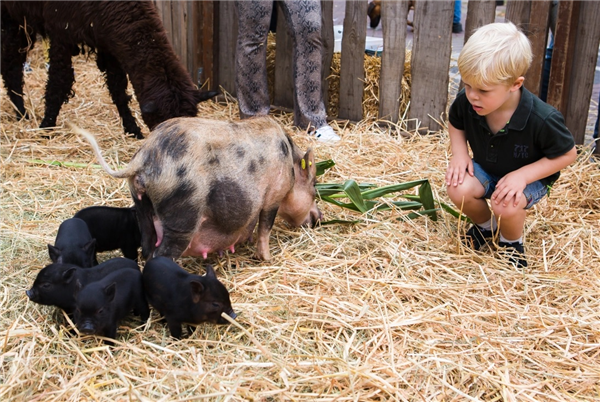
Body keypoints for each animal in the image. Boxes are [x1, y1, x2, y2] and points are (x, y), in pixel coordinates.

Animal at [1, 1, 217, 139]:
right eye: (163, 123)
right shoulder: (60, 33)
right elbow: (58, 83)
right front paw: (46, 127)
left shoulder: (108, 42)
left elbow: (118, 89)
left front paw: (132, 130)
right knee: (11, 65)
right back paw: (22, 112)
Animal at [73, 116, 322, 261]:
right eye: (314, 185)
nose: (319, 217)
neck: (290, 165)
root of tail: (144, 157)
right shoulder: (273, 196)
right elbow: (265, 228)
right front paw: (268, 259)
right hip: (182, 216)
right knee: (161, 255)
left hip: (141, 205)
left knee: (146, 246)